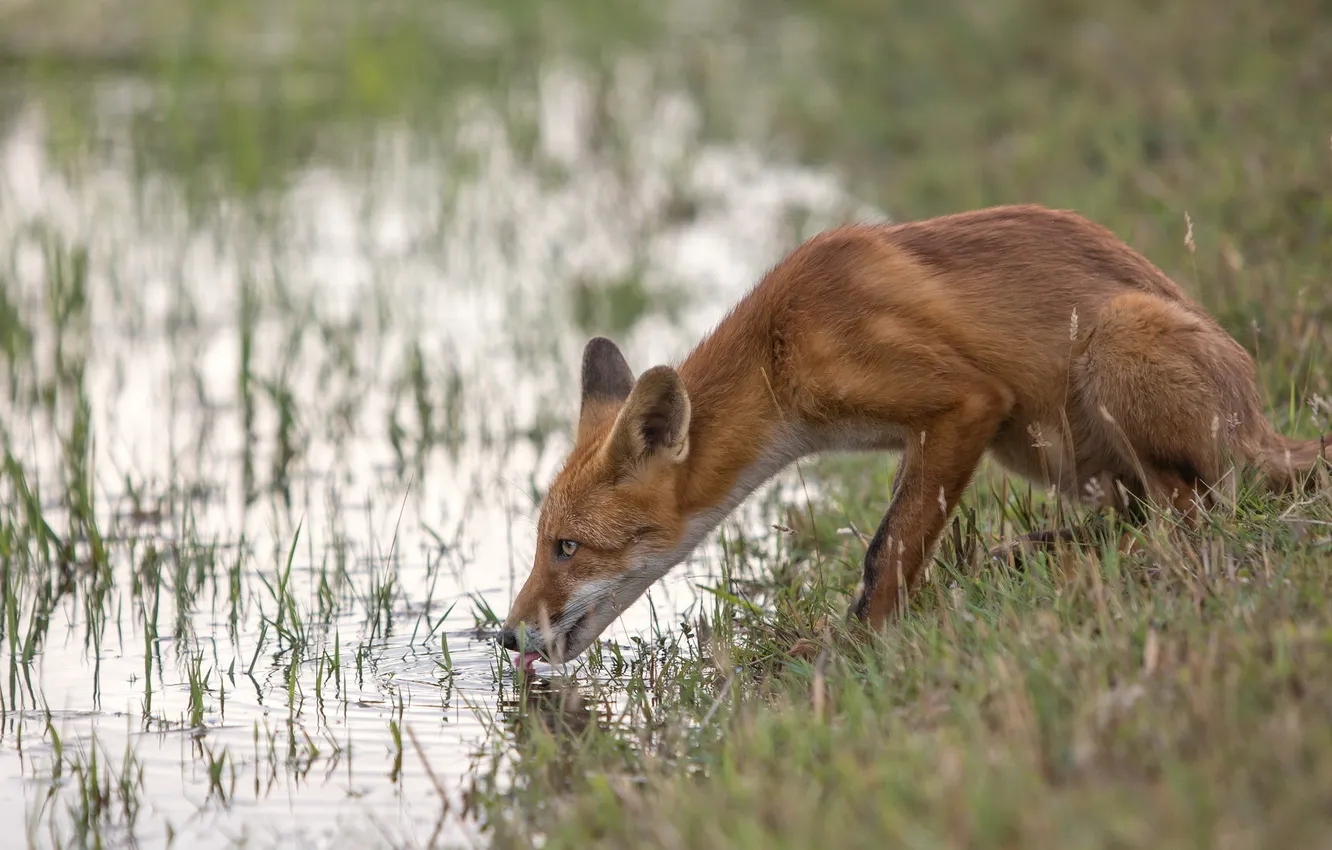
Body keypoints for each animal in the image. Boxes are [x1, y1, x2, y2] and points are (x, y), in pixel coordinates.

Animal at [495, 202, 1326, 668]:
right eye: (543, 544)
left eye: (566, 548)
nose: (504, 638)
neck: (778, 350)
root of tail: (1260, 418)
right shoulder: (932, 433)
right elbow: (895, 538)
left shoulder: (966, 403)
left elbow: (885, 550)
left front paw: (854, 650)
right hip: (1040, 445)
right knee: (1142, 510)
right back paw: (1030, 554)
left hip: (1111, 352)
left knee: (1191, 513)